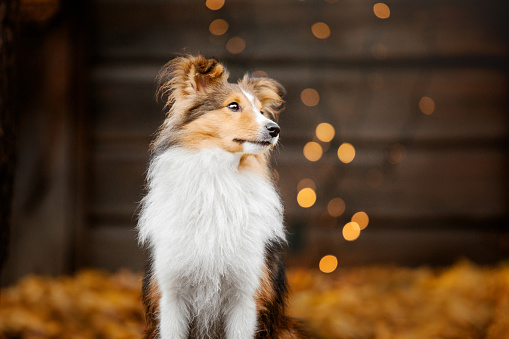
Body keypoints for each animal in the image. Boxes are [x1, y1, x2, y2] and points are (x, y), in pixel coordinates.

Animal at [137, 54, 310, 338]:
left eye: (261, 111)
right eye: (233, 106)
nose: (275, 129)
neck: (219, 178)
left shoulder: (246, 297)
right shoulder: (171, 297)